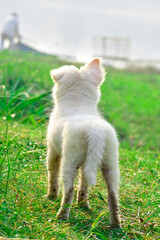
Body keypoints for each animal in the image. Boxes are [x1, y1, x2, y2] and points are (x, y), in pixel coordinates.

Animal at [45, 59, 120, 228]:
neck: (78, 103)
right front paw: (83, 204)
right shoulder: (87, 163)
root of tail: (95, 131)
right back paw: (115, 225)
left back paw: (61, 216)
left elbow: (52, 174)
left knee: (69, 190)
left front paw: (51, 196)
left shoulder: (53, 150)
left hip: (70, 159)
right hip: (110, 162)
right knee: (112, 194)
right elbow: (84, 184)